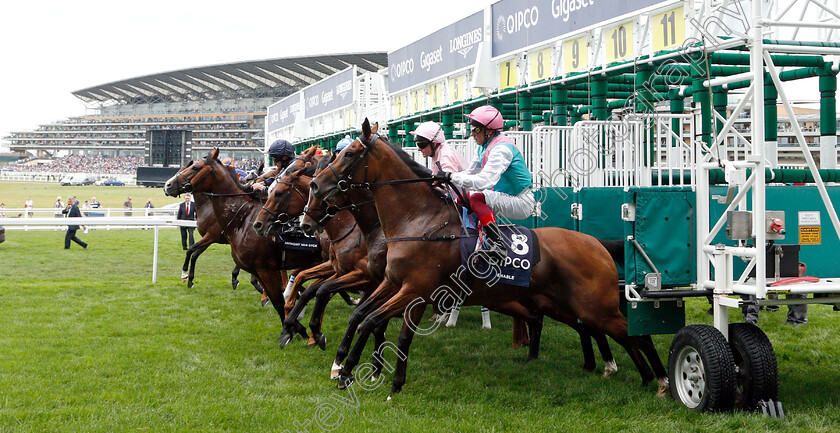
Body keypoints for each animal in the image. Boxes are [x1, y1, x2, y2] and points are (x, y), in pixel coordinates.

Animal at [163, 148, 324, 338]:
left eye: (195, 167)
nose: (167, 185)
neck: (244, 216)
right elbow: (194, 252)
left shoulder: (213, 236)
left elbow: (192, 251)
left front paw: (187, 277)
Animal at [308, 118, 664, 398]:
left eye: (348, 154)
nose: (316, 185)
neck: (418, 221)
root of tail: (595, 243)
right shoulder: (393, 283)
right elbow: (364, 317)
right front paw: (352, 368)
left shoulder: (415, 290)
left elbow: (372, 320)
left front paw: (353, 371)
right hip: (569, 304)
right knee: (611, 332)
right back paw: (635, 374)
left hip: (595, 306)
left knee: (636, 332)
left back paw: (660, 381)